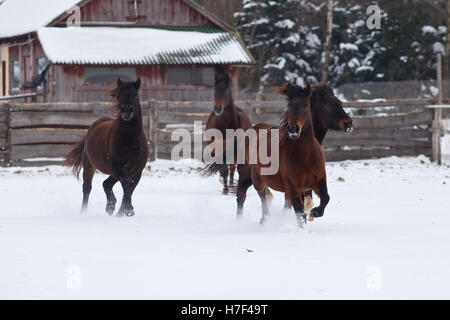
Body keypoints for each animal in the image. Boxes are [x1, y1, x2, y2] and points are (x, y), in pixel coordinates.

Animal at [64, 78, 149, 216]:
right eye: (120, 96)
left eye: (136, 95)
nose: (126, 112)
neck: (130, 142)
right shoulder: (116, 166)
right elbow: (126, 184)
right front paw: (126, 209)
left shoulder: (137, 171)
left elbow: (129, 188)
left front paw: (125, 210)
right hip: (89, 165)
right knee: (87, 188)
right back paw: (85, 212)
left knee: (107, 184)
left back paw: (112, 207)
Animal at [204, 84, 330, 226]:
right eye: (289, 106)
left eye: (305, 105)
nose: (293, 129)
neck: (305, 156)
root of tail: (249, 132)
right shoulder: (293, 187)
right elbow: (299, 212)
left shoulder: (319, 181)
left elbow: (325, 198)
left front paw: (315, 212)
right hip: (250, 176)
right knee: (247, 196)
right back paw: (253, 220)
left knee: (262, 195)